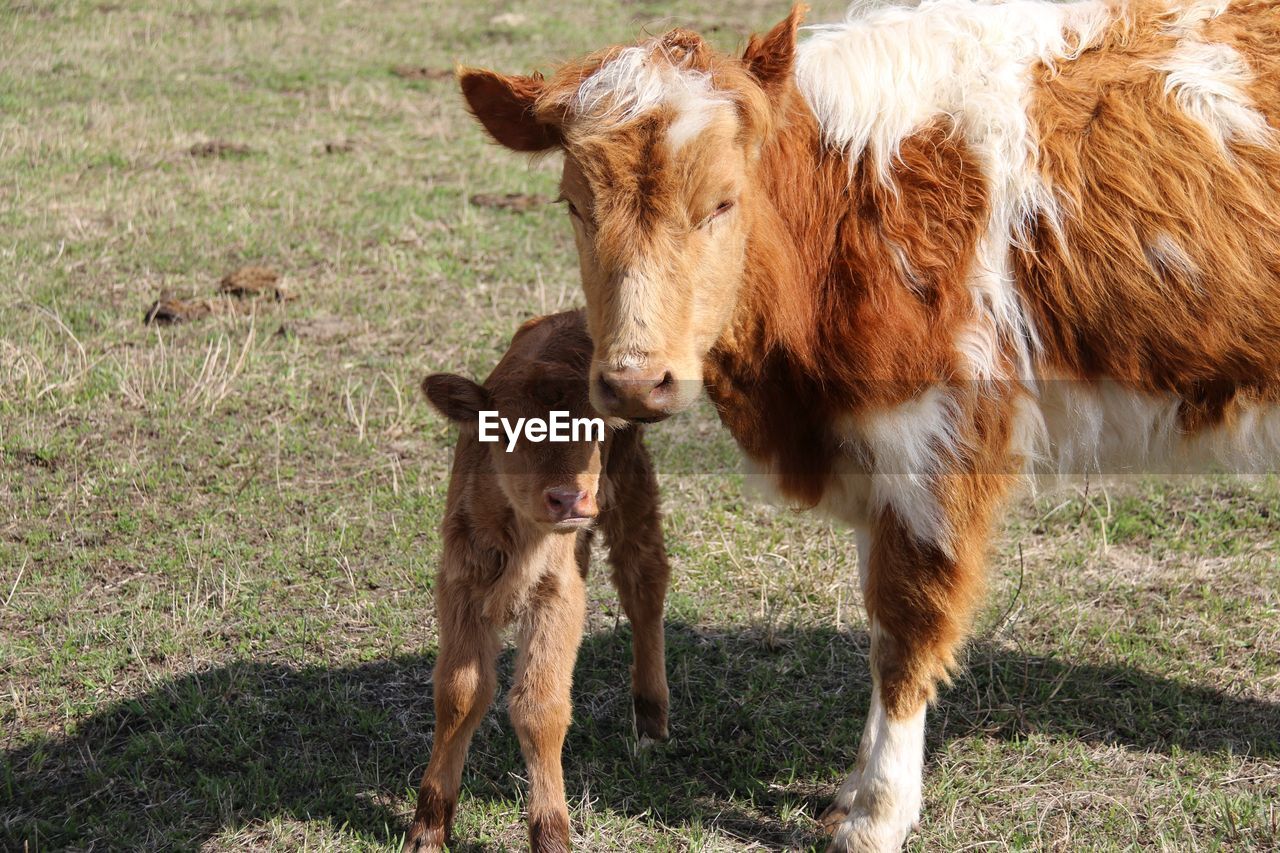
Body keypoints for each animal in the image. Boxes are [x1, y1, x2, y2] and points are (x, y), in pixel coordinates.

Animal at [407, 308, 670, 850]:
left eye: (594, 428)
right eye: (507, 428)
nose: (568, 499)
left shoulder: (558, 597)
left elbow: (539, 706)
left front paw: (551, 832)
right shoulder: (459, 585)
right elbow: (458, 692)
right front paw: (428, 826)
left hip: (631, 486)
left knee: (644, 580)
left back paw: (652, 718)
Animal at [455, 3, 1280, 845]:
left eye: (722, 202)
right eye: (575, 205)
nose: (631, 379)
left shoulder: (933, 449)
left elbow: (906, 631)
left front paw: (878, 814)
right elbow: (880, 621)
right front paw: (854, 788)